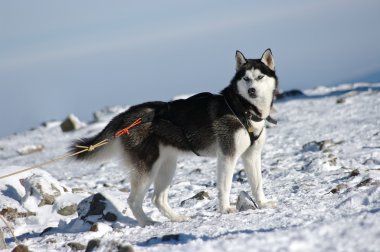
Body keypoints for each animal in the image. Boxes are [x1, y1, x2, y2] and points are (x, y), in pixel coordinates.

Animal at [70, 49, 280, 226]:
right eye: (245, 78)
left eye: (260, 77)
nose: (252, 90)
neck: (242, 109)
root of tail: (126, 115)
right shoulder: (227, 156)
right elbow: (224, 186)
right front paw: (226, 209)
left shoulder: (251, 155)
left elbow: (257, 184)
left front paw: (263, 204)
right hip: (147, 169)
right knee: (133, 200)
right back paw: (148, 222)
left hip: (167, 166)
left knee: (158, 199)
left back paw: (177, 218)